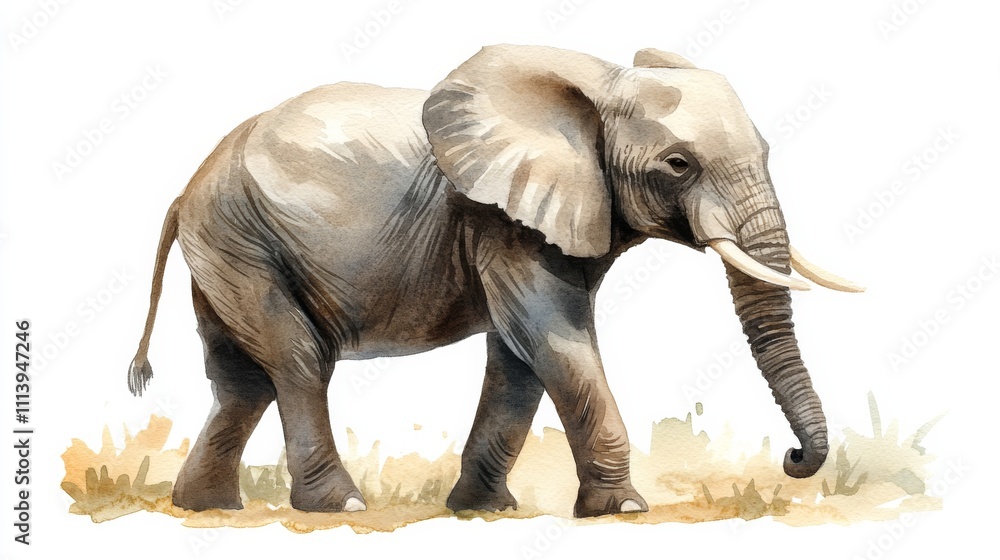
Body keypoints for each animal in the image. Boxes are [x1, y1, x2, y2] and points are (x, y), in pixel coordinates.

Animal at [127, 44, 862, 518]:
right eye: (678, 164)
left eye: (766, 152)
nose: (794, 458)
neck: (601, 83)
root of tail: (184, 191)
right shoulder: (502, 220)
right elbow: (553, 337)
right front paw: (623, 509)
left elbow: (519, 358)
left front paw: (483, 510)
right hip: (241, 239)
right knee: (299, 359)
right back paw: (340, 505)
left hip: (227, 250)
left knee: (242, 379)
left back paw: (206, 507)